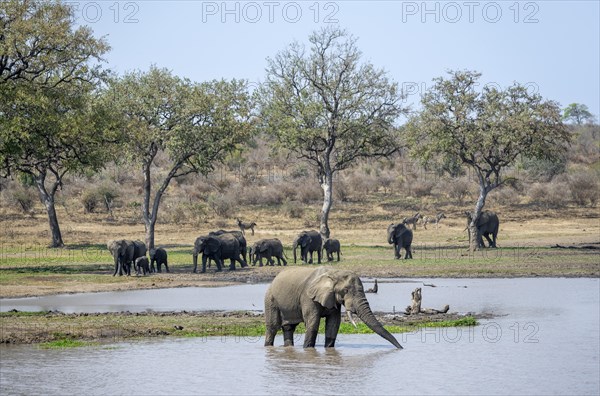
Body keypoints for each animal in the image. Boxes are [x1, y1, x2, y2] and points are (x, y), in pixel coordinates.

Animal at [264, 268, 400, 348]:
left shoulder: (333, 298)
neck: (334, 273)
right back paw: (268, 346)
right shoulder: (308, 297)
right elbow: (313, 322)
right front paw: (308, 349)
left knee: (288, 328)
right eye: (346, 290)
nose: (401, 348)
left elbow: (334, 323)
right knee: (273, 327)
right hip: (271, 299)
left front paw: (328, 349)